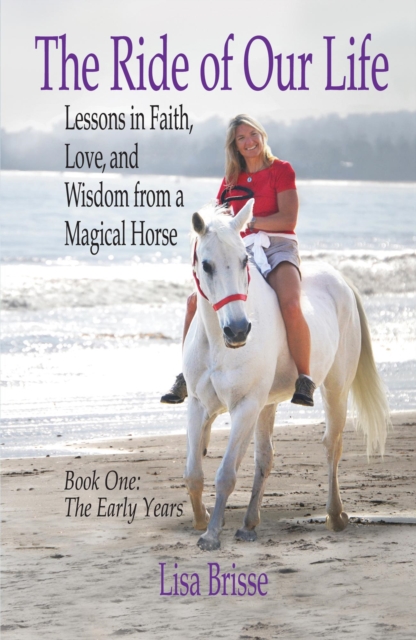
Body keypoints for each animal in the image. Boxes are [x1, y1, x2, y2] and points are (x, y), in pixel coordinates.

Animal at [182, 199, 390, 551]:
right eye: (207, 265)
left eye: (243, 261)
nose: (239, 330)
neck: (218, 343)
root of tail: (341, 279)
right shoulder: (199, 404)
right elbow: (194, 472)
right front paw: (201, 519)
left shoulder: (246, 406)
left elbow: (226, 473)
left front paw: (210, 535)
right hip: (267, 404)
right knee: (264, 457)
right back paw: (249, 524)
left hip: (335, 389)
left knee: (332, 445)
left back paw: (335, 515)